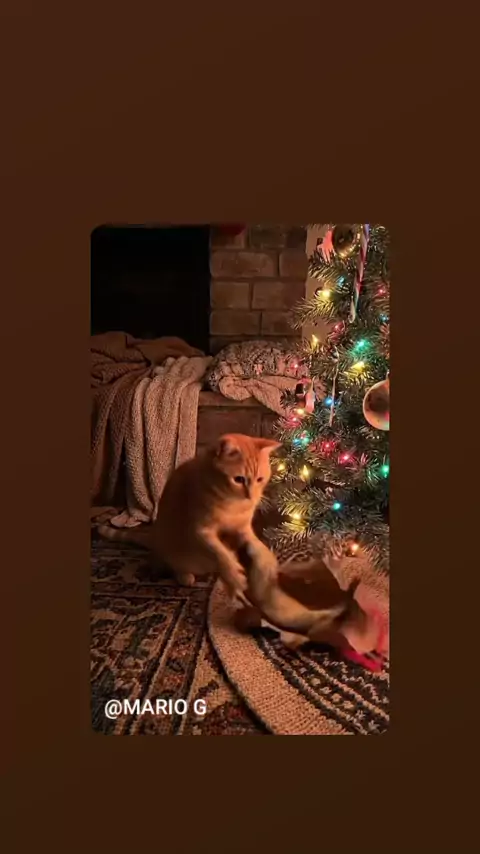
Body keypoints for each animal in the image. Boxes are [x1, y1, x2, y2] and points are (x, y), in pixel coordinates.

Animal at [97, 433, 282, 602]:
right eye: (239, 479)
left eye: (260, 479)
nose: (251, 496)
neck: (234, 506)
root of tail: (155, 539)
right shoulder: (200, 531)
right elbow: (220, 554)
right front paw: (233, 575)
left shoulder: (242, 530)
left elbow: (255, 544)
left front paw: (266, 560)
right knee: (174, 565)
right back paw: (184, 575)